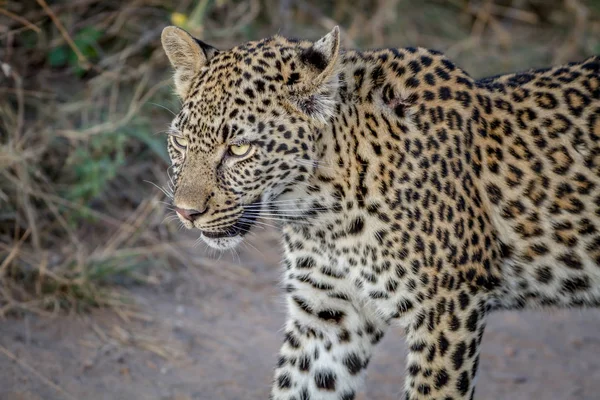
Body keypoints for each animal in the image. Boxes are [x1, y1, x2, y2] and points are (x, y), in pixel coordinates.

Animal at [159, 25, 600, 400]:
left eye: (239, 148)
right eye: (180, 142)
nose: (185, 212)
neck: (321, 211)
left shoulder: (448, 311)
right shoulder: (326, 316)